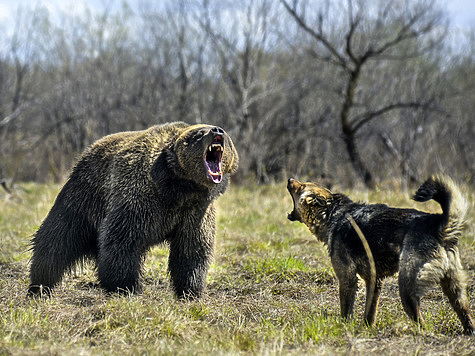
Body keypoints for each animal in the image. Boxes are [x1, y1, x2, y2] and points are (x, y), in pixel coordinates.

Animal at [27, 122, 238, 298]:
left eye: (223, 132)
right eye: (199, 133)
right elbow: (123, 240)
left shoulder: (196, 212)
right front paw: (125, 286)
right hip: (84, 197)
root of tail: (89, 149)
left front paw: (190, 290)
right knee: (57, 238)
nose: (217, 130)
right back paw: (39, 285)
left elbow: (192, 249)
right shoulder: (140, 198)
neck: (178, 188)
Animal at [288, 177, 474, 336]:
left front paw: (343, 327)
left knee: (422, 322)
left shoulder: (347, 278)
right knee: (464, 313)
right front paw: (366, 328)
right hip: (454, 289)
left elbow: (346, 309)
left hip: (407, 288)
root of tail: (438, 224)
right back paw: (468, 331)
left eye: (301, 186)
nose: (290, 179)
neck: (333, 214)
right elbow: (370, 311)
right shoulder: (374, 281)